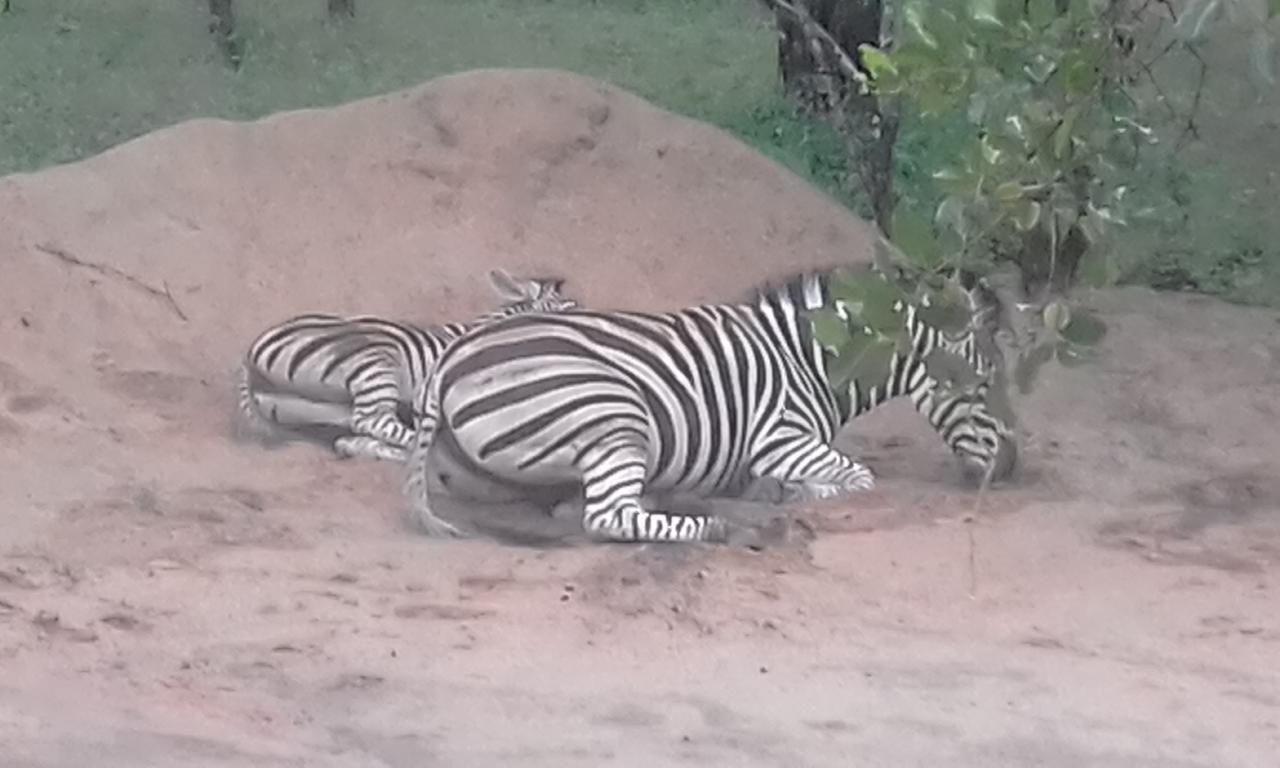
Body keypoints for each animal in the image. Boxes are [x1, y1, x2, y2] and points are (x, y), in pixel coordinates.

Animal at [235, 268, 581, 460]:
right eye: (569, 309)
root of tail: (253, 349)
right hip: (375, 360)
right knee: (372, 420)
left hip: (299, 403)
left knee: (355, 424)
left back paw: (357, 445)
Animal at [404, 267, 1024, 542]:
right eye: (982, 383)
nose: (1012, 472)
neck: (811, 359)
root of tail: (449, 361)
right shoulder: (780, 438)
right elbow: (857, 480)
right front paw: (790, 494)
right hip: (617, 413)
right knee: (607, 518)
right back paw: (711, 523)